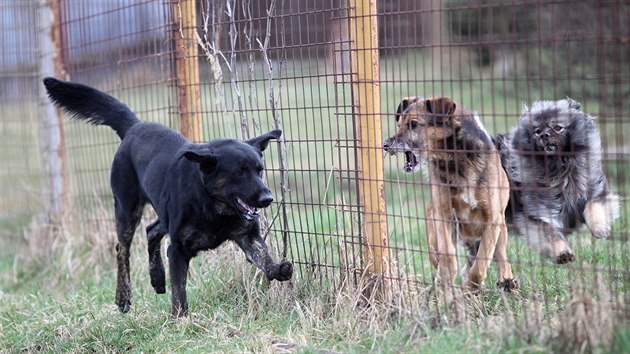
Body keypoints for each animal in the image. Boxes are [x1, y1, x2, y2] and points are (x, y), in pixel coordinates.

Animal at [43, 78, 296, 318]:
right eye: (239, 173)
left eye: (259, 170)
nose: (268, 198)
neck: (213, 207)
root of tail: (135, 126)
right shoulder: (177, 250)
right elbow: (179, 289)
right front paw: (179, 319)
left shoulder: (247, 236)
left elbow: (264, 257)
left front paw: (277, 269)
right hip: (127, 209)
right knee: (121, 249)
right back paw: (123, 296)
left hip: (163, 214)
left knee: (151, 230)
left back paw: (157, 277)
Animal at [386, 96, 520, 296]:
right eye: (399, 124)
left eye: (414, 124)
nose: (385, 145)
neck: (454, 160)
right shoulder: (444, 215)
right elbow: (448, 255)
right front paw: (449, 282)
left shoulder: (492, 220)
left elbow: (481, 264)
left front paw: (471, 286)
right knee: (437, 255)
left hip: (501, 229)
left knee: (501, 255)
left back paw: (506, 280)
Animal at [498, 98, 624, 264]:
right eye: (537, 131)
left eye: (558, 128)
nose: (544, 135)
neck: (560, 171)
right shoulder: (537, 215)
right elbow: (551, 234)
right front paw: (562, 253)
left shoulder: (596, 192)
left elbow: (593, 207)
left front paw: (600, 229)